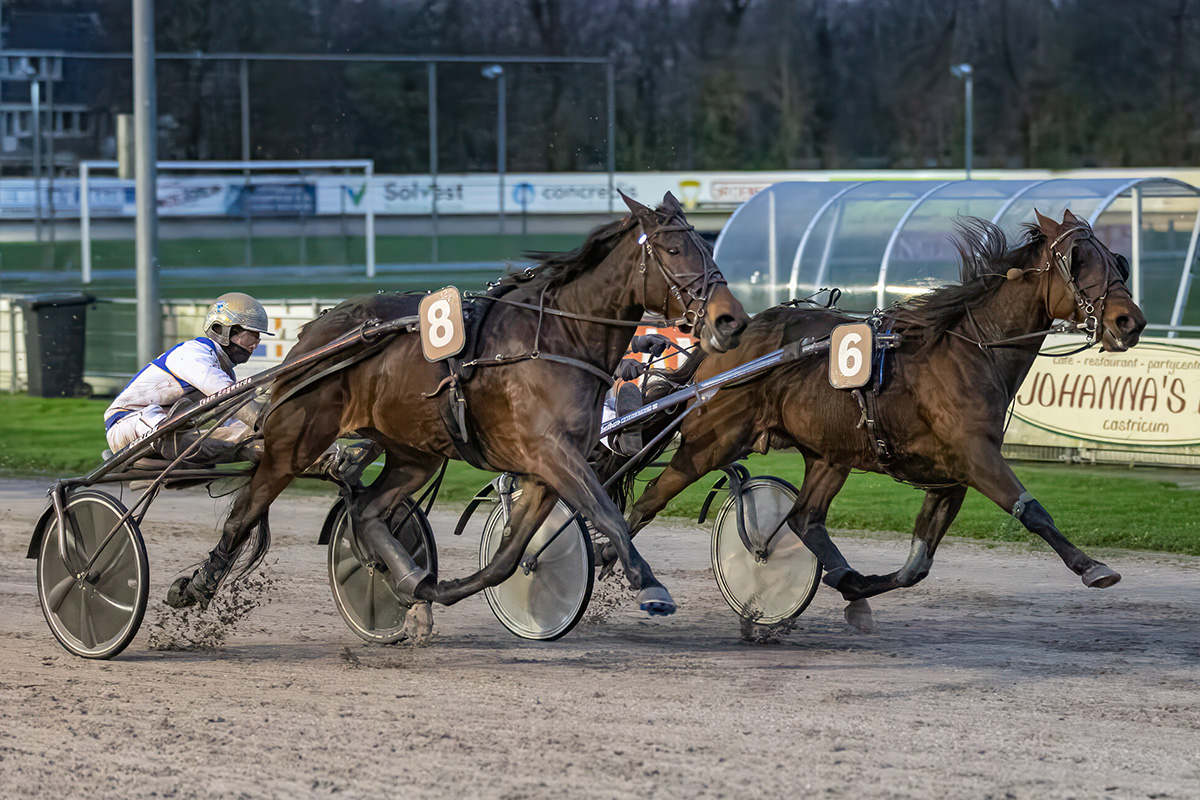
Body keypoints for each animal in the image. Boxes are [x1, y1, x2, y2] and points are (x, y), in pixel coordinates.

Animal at [169, 191, 748, 623]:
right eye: (673, 250)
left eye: (704, 246)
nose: (730, 319)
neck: (555, 338)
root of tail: (315, 332)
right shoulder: (551, 452)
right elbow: (607, 513)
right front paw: (649, 584)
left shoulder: (547, 468)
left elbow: (508, 559)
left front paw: (440, 589)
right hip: (294, 441)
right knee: (245, 512)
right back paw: (194, 585)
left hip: (414, 451)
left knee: (368, 510)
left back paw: (405, 577)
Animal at [614, 211, 1147, 633]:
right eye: (1080, 260)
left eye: (1115, 259)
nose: (1130, 322)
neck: (968, 350)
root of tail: (720, 347)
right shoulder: (976, 455)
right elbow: (1032, 511)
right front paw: (1092, 566)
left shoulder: (950, 477)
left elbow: (916, 566)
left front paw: (858, 588)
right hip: (714, 439)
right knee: (651, 498)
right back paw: (615, 559)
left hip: (828, 455)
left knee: (804, 519)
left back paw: (842, 576)